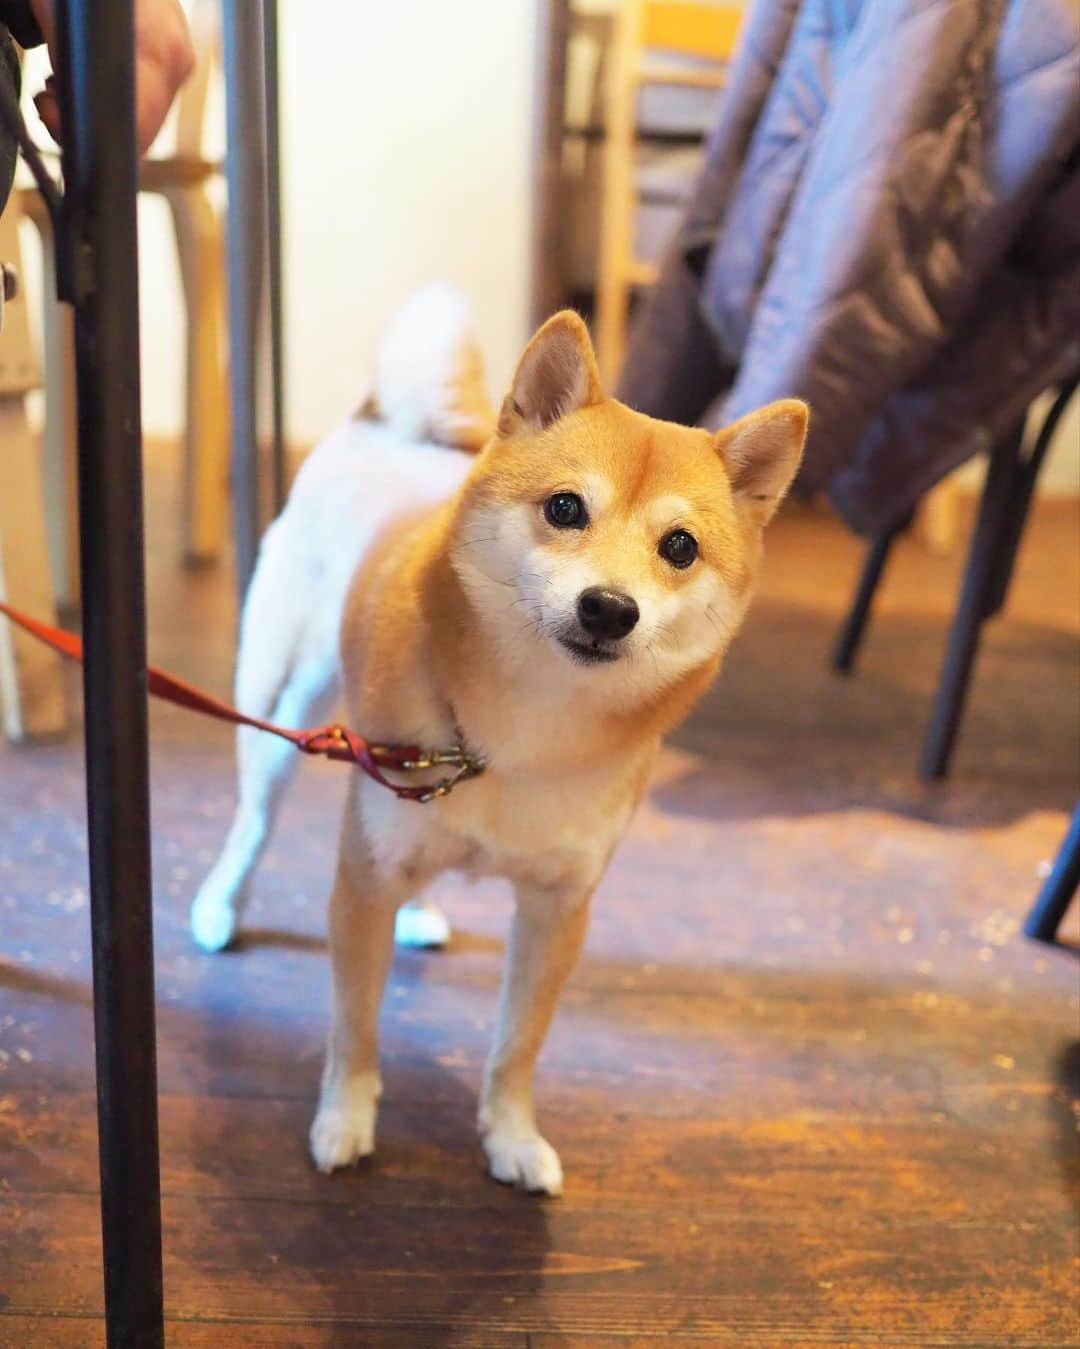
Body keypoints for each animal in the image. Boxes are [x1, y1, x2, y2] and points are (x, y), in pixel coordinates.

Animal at [191, 281, 798, 1192]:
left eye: (680, 546)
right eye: (565, 507)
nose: (609, 608)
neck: (523, 735)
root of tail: (386, 428)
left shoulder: (558, 908)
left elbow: (518, 1044)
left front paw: (511, 1135)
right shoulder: (361, 882)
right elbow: (354, 1026)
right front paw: (345, 1118)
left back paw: (420, 911)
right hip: (279, 715)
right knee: (253, 824)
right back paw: (220, 906)